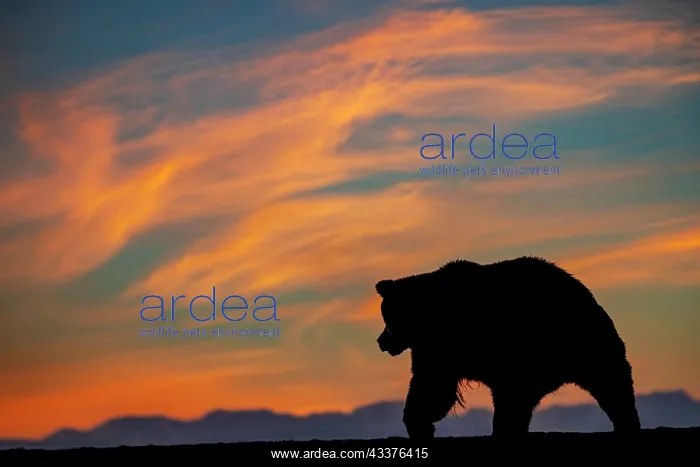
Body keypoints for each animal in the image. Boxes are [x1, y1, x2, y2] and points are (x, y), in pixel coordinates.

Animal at [375, 256, 641, 441]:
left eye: (386, 318)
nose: (381, 341)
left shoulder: (445, 341)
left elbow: (432, 387)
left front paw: (418, 423)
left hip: (565, 341)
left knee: (610, 380)